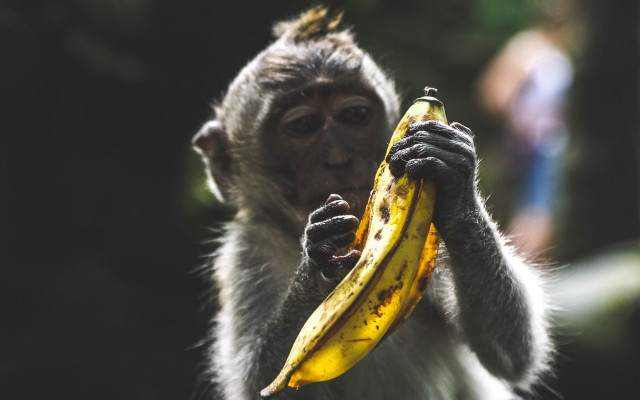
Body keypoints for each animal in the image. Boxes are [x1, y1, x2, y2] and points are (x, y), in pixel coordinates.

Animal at [192, 7, 551, 400]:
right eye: (304, 125)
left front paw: (457, 186)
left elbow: (511, 351)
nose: (338, 158)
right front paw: (319, 260)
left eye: (354, 116)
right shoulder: (246, 255)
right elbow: (259, 383)